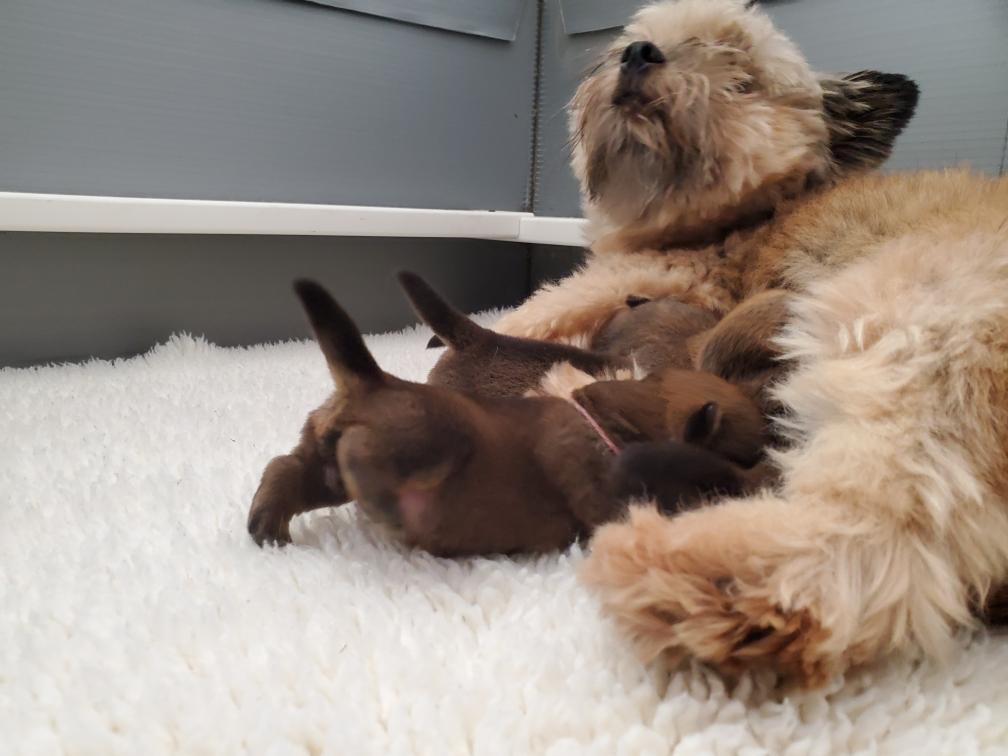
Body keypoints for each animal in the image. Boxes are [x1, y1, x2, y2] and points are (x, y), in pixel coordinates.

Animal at [495, 0, 1008, 686]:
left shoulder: (641, 278)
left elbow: (533, 313)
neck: (739, 218)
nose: (639, 55)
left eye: (740, 77)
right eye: (639, 37)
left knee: (864, 545)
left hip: (908, 335)